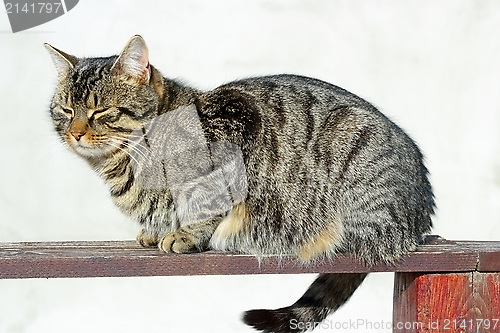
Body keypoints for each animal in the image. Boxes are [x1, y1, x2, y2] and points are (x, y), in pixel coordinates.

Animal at [45, 35, 432, 330]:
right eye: (66, 110)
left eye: (100, 111)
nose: (75, 132)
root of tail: (420, 220)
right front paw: (156, 230)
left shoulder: (233, 125)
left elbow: (204, 203)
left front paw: (185, 234)